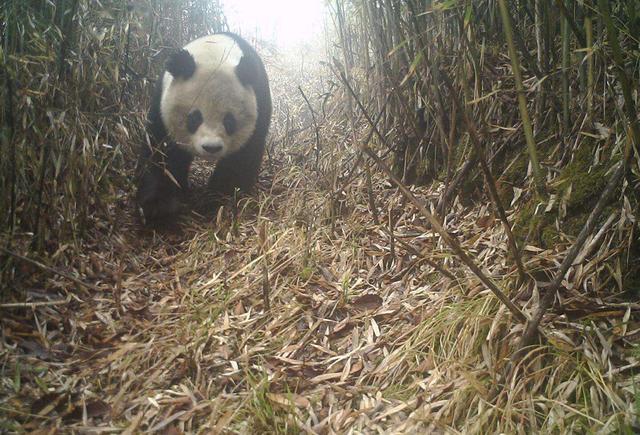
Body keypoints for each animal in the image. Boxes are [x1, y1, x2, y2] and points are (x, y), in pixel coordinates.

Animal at [136, 32, 272, 225]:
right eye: (194, 118)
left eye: (229, 121)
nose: (211, 148)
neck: (214, 52)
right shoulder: (161, 105)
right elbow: (160, 153)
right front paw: (158, 208)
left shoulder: (259, 105)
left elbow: (240, 159)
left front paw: (217, 200)